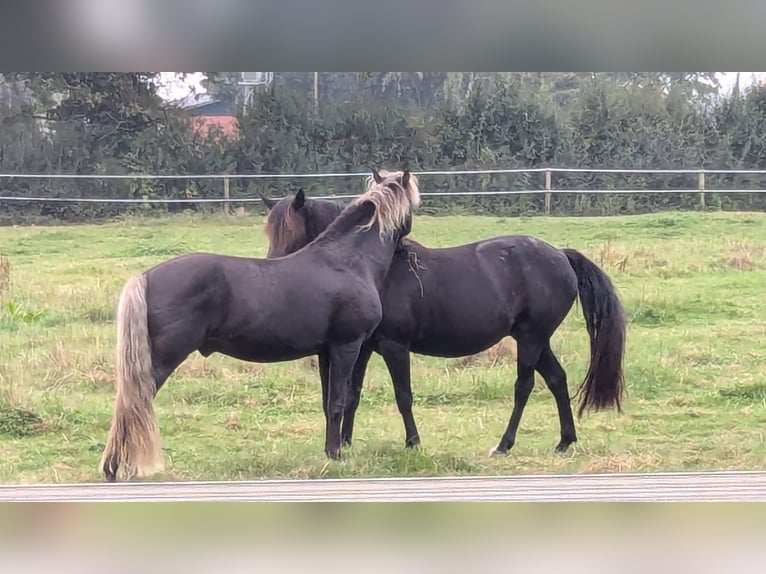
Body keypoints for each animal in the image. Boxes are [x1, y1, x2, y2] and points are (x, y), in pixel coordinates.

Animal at [100, 169, 420, 482]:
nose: (405, 248)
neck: (348, 260)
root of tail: (145, 277)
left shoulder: (325, 352)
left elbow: (327, 402)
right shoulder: (347, 347)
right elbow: (338, 402)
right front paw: (335, 455)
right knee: (133, 403)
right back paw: (114, 466)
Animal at [261, 179, 626, 456]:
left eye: (291, 231)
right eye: (270, 233)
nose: (274, 275)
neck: (373, 267)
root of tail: (561, 255)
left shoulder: (394, 346)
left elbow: (403, 396)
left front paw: (412, 443)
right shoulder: (360, 347)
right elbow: (352, 393)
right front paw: (346, 444)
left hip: (531, 339)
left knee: (524, 386)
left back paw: (504, 444)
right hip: (536, 339)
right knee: (557, 379)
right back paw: (565, 441)